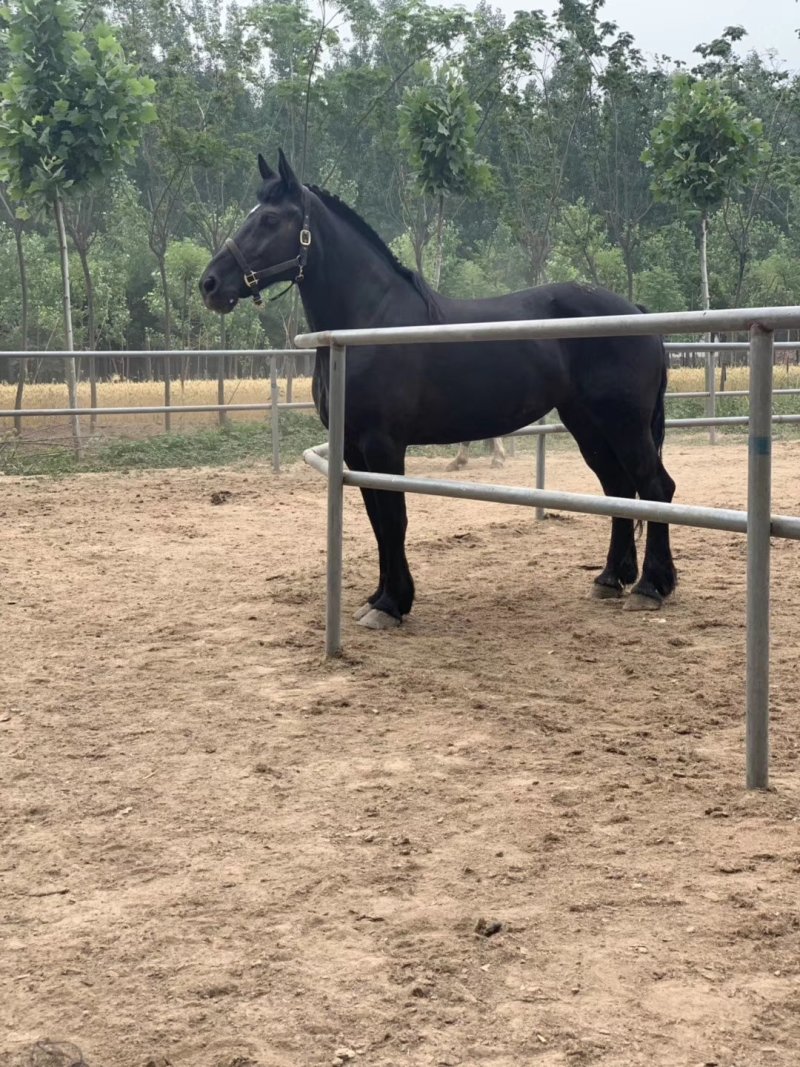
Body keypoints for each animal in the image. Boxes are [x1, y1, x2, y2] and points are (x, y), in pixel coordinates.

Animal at [199, 151, 677, 630]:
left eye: (270, 219)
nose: (210, 284)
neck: (370, 325)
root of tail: (635, 311)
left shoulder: (383, 445)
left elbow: (394, 519)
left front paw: (392, 605)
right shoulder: (353, 448)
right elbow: (376, 519)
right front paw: (377, 597)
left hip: (625, 425)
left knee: (655, 488)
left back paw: (650, 587)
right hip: (588, 425)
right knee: (619, 488)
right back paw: (610, 578)